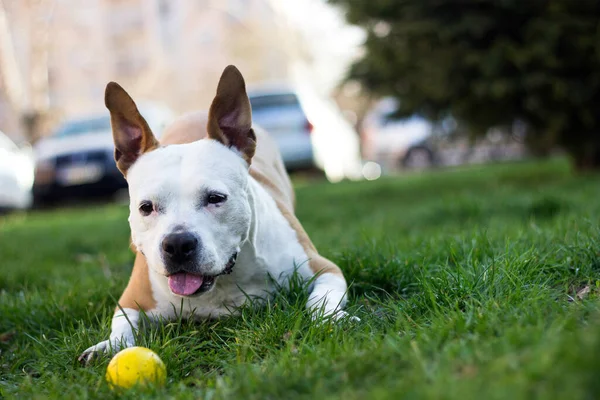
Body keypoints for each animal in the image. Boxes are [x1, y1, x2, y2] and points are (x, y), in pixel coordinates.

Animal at [78, 65, 354, 362]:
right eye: (146, 207)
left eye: (215, 198)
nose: (177, 244)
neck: (222, 283)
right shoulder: (130, 300)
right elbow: (122, 326)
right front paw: (106, 346)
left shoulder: (324, 269)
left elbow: (319, 301)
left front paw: (331, 318)